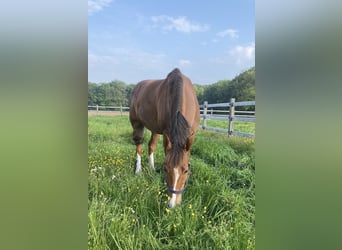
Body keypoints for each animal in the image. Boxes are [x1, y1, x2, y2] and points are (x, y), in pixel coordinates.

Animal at [129, 68, 200, 207]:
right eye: (166, 169)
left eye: (186, 170)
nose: (172, 204)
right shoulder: (167, 133)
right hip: (137, 124)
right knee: (139, 145)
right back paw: (138, 171)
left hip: (155, 129)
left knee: (151, 145)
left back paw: (152, 169)